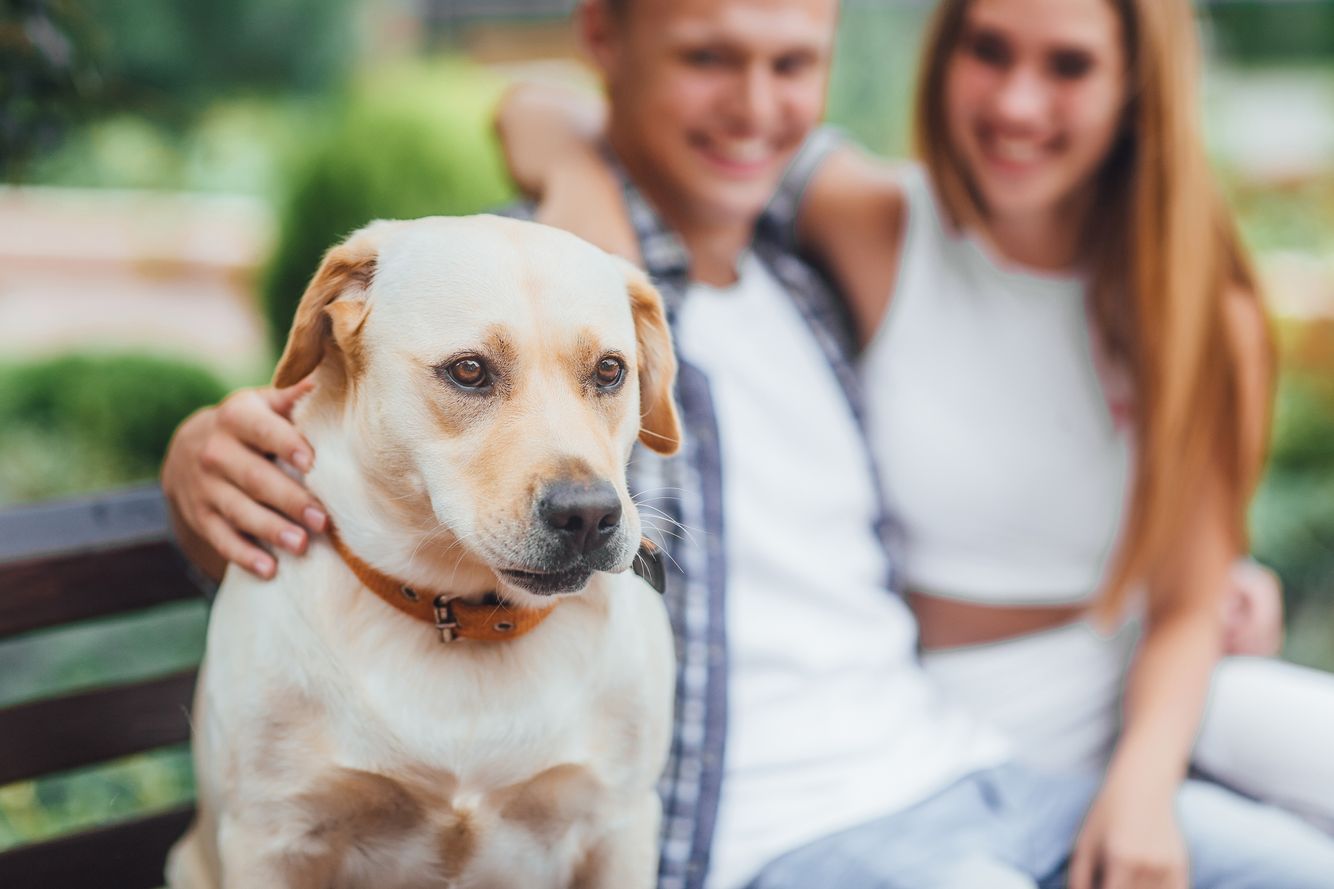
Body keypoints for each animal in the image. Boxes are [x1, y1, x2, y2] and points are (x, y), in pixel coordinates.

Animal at [169, 214, 677, 886]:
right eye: (469, 371)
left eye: (610, 370)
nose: (589, 515)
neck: (462, 615)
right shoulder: (271, 838)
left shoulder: (620, 826)